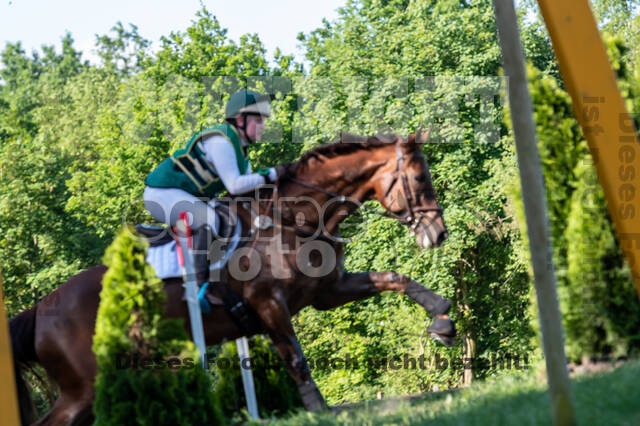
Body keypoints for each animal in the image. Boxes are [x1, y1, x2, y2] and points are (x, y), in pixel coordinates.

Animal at [9, 131, 455, 425]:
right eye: (420, 179)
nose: (439, 234)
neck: (292, 219)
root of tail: (40, 310)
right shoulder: (268, 303)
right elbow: (297, 360)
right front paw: (317, 411)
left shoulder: (327, 291)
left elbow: (395, 278)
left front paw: (442, 319)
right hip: (84, 386)